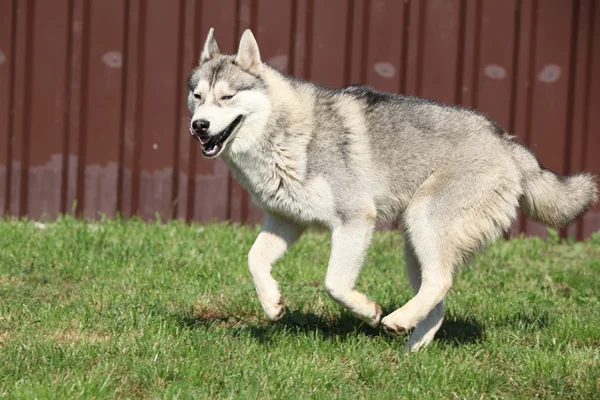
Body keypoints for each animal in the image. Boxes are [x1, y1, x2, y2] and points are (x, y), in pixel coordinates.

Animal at [186, 27, 596, 350]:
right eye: (197, 96)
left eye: (227, 97)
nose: (198, 126)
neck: (284, 135)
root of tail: (506, 141)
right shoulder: (286, 221)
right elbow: (254, 259)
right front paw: (272, 304)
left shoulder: (354, 220)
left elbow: (335, 283)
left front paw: (368, 311)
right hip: (415, 243)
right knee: (438, 300)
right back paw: (411, 354)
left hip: (423, 222)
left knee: (440, 282)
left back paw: (397, 321)